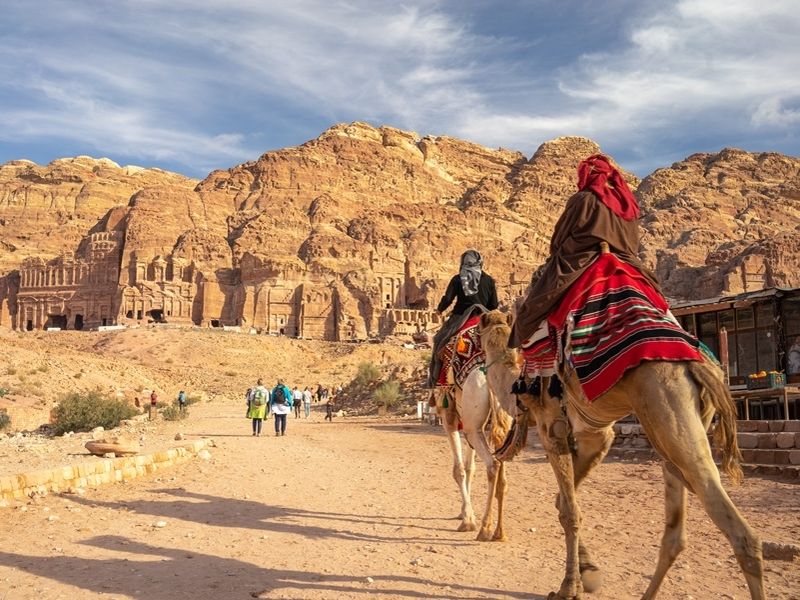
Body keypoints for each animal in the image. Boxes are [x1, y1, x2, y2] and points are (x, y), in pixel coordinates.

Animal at [478, 310, 764, 600]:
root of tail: (701, 366)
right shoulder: (596, 436)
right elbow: (562, 502)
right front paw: (589, 572)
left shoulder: (553, 429)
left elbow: (569, 511)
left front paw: (569, 587)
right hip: (681, 428)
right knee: (675, 530)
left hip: (667, 409)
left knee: (741, 534)